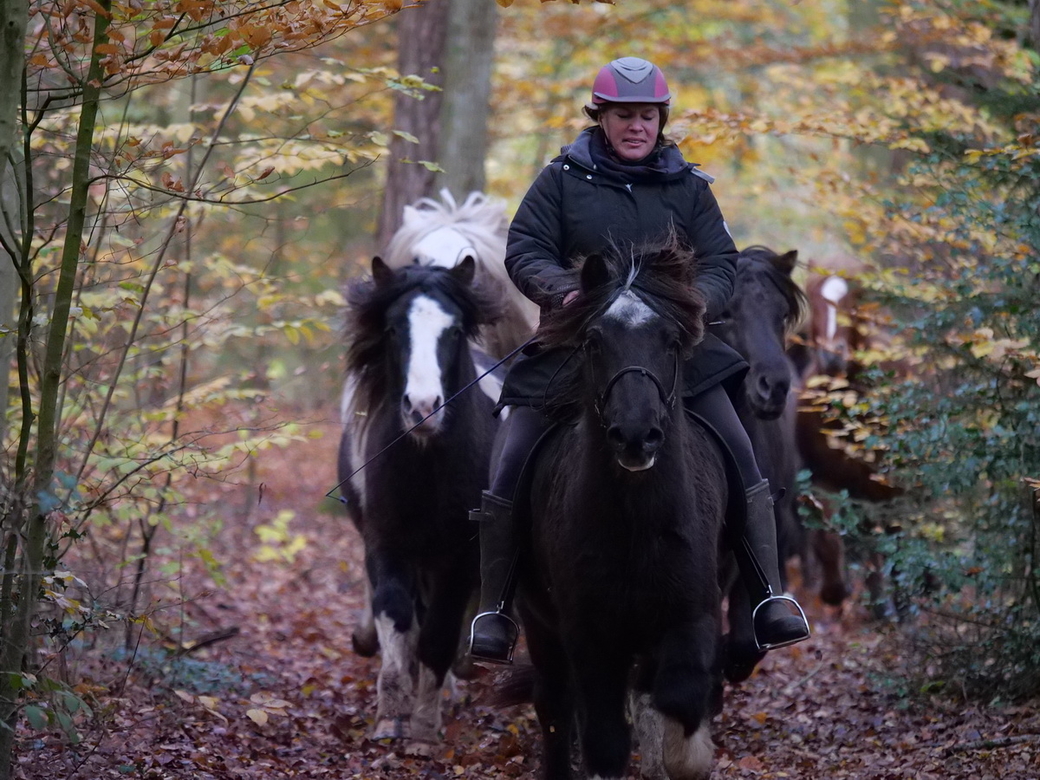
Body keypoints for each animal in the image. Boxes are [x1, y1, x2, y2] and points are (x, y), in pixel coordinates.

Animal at [339, 257, 501, 744]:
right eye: (393, 329)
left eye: (455, 329)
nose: (423, 407)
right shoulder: (387, 545)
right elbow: (398, 620)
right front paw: (392, 717)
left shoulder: (459, 559)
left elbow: (439, 633)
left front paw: (426, 729)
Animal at [515, 238, 728, 780]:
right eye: (593, 342)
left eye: (671, 341)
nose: (636, 436)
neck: (637, 523)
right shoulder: (589, 637)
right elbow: (606, 742)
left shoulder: (689, 619)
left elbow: (678, 702)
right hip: (540, 624)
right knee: (554, 702)